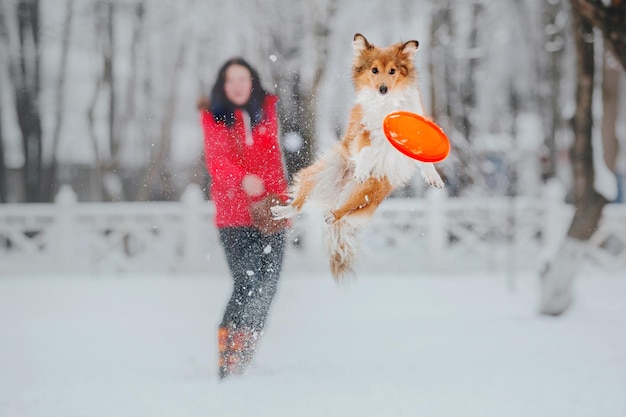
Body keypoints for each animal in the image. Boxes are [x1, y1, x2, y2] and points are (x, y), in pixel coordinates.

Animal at [270, 32, 442, 280]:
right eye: (374, 70)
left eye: (393, 71)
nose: (383, 89)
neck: (385, 104)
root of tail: (339, 190)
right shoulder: (360, 130)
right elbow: (366, 147)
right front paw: (362, 167)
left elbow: (423, 157)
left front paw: (434, 177)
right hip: (324, 172)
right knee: (299, 203)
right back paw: (282, 210)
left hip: (367, 191)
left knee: (343, 210)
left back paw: (332, 215)